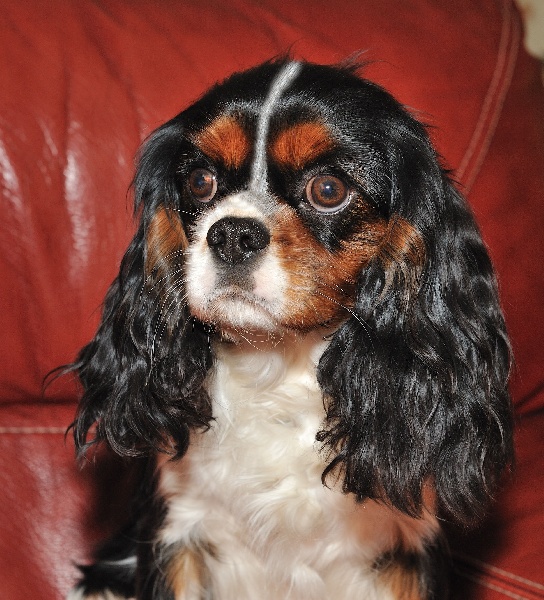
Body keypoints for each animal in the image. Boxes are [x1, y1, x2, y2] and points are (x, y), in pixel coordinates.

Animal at [69, 61, 516, 600]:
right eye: (200, 181)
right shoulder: (178, 532)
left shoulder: (406, 550)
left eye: (328, 190)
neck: (278, 362)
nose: (232, 233)